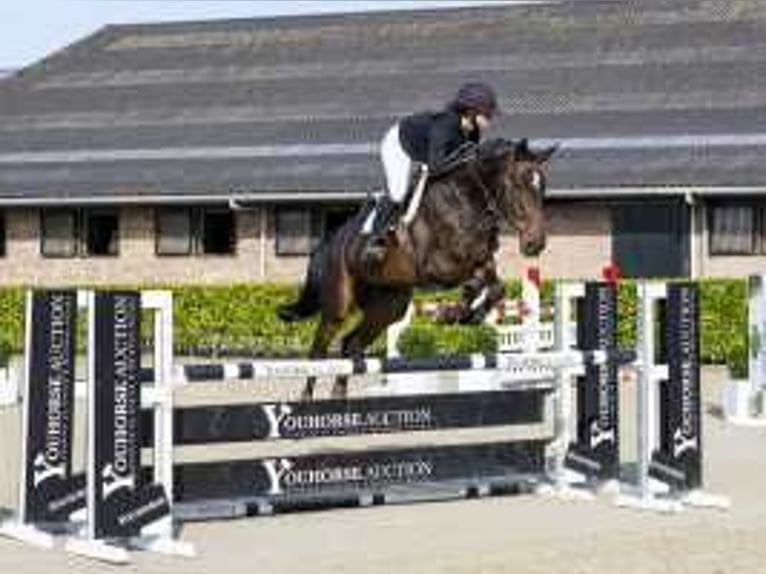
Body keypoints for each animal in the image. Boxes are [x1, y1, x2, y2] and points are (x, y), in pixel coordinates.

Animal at [280, 140, 556, 400]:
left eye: (542, 187)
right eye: (519, 185)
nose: (535, 244)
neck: (466, 200)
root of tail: (332, 239)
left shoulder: (482, 260)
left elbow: (495, 286)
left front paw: (466, 316)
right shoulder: (441, 267)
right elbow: (474, 282)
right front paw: (450, 314)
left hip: (388, 306)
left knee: (352, 344)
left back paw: (339, 394)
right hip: (339, 302)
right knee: (319, 350)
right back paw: (307, 398)